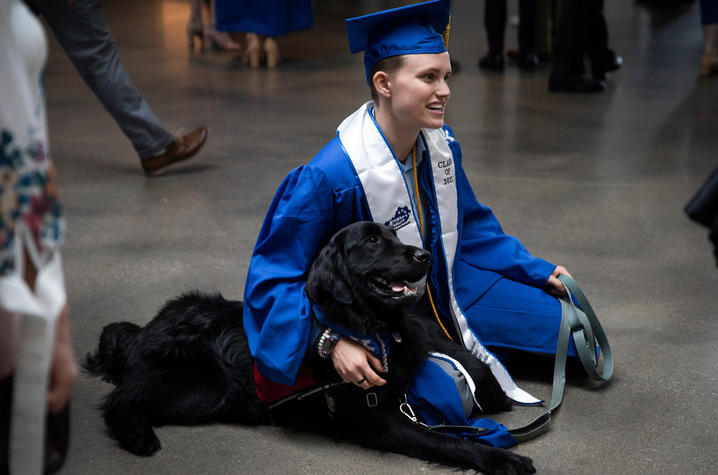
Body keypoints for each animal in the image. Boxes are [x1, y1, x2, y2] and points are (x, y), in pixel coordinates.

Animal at [86, 223, 536, 475]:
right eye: (372, 241)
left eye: (393, 235)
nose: (425, 254)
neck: (371, 327)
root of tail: (144, 330)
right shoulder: (378, 420)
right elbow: (447, 441)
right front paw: (500, 460)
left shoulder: (414, 342)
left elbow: (462, 360)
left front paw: (493, 390)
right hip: (198, 387)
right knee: (118, 401)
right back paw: (137, 435)